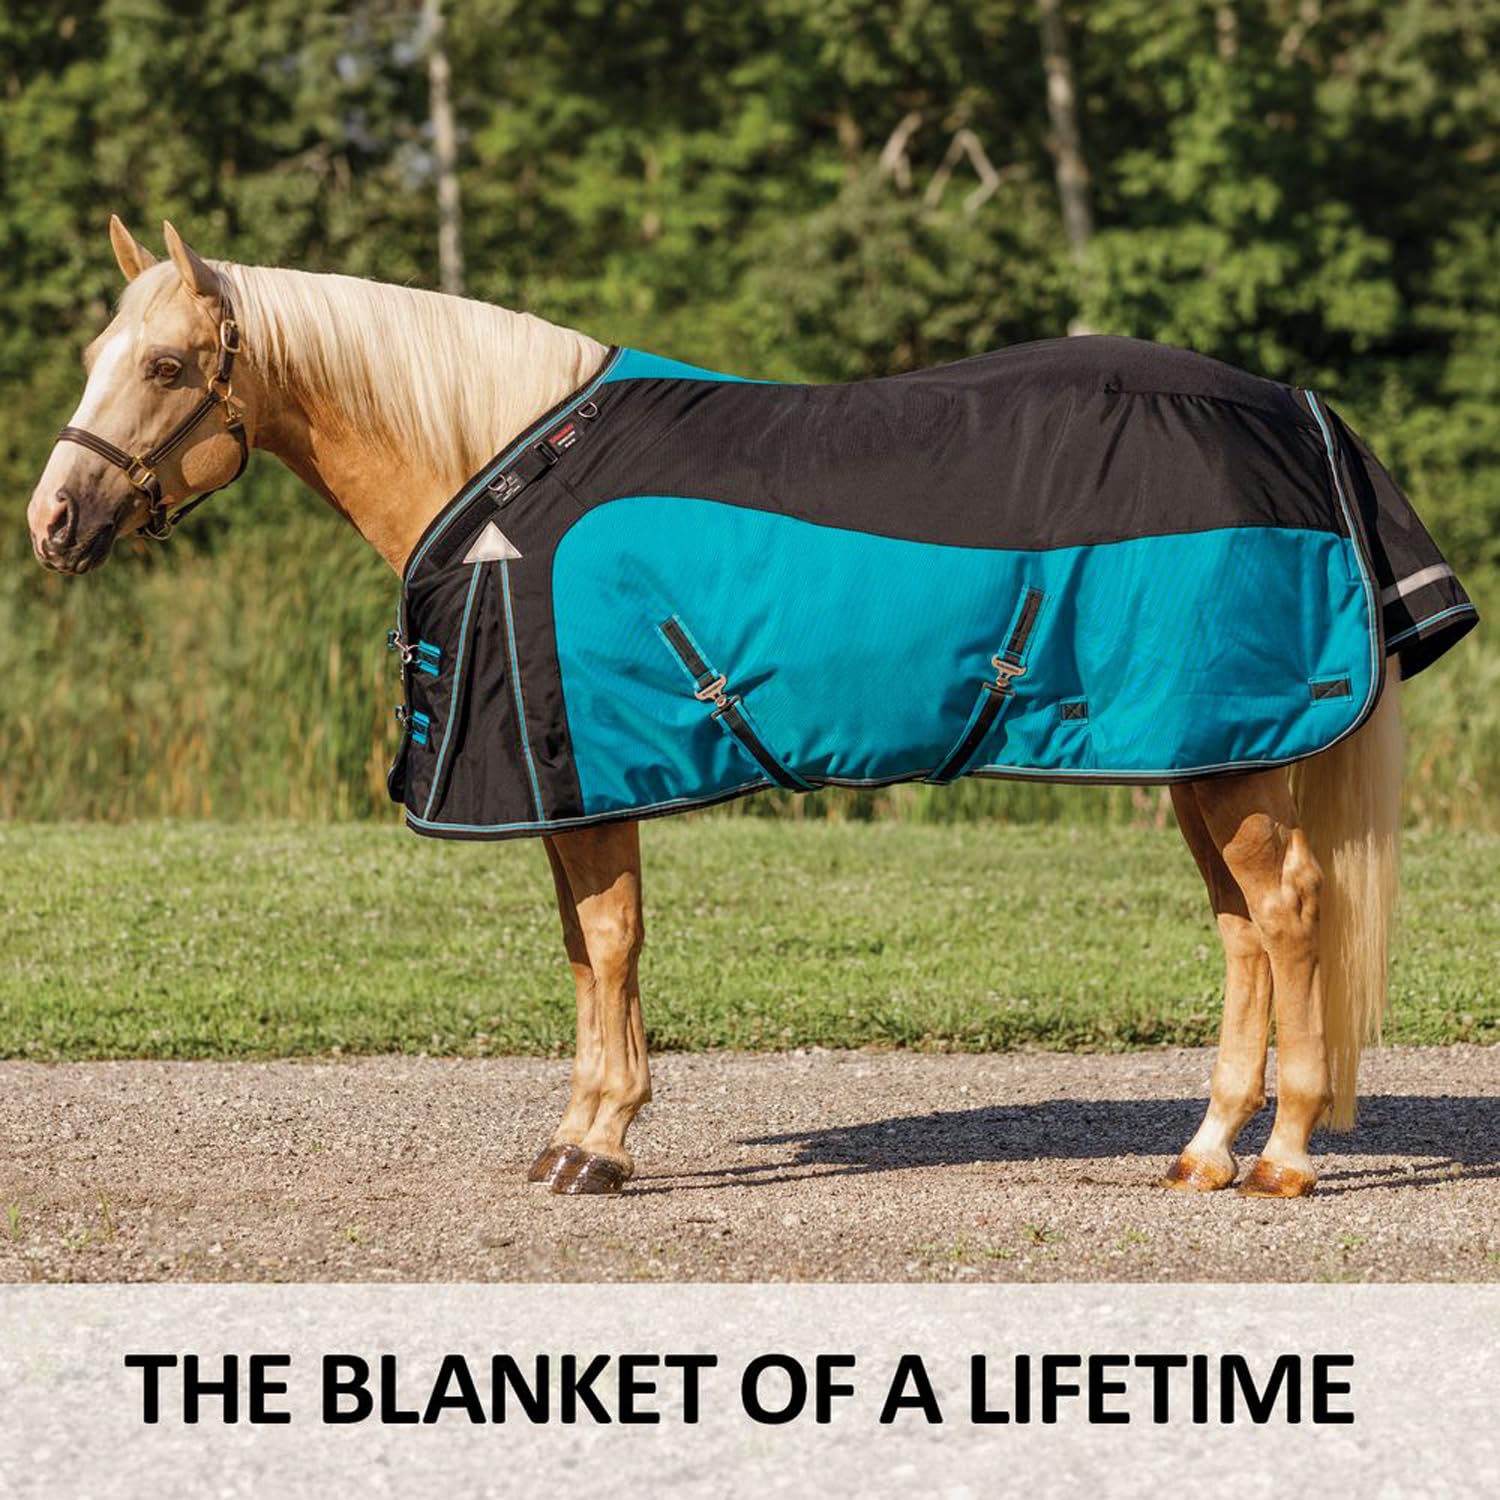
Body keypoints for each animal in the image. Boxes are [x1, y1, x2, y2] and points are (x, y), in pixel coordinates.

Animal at [26, 218, 1464, 1199]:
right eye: (98, 354)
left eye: (167, 365)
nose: (52, 520)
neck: (496, 469)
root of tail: (1301, 411)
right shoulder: (568, 780)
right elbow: (586, 949)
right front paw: (584, 1130)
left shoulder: (583, 760)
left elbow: (610, 943)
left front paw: (597, 1146)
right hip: (1203, 753)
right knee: (1242, 930)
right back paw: (1205, 1149)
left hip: (1230, 753)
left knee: (1288, 913)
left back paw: (1282, 1158)